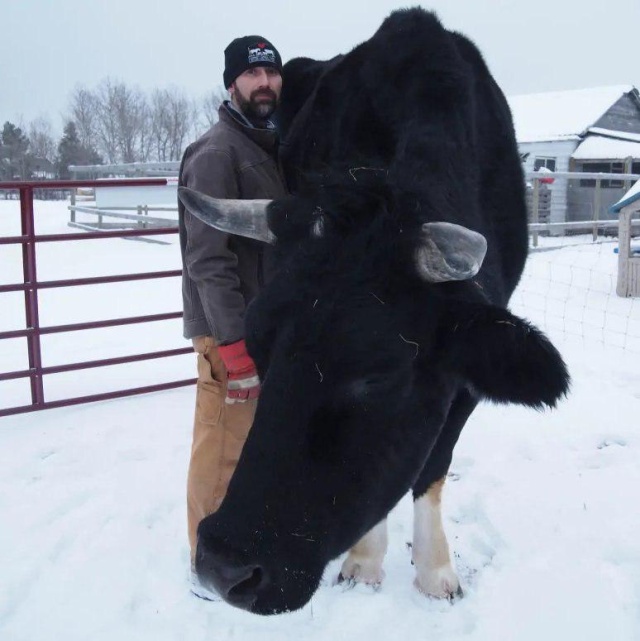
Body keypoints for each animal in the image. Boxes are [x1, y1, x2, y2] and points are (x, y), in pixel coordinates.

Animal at [178, 6, 568, 616]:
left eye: (378, 374)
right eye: (258, 345)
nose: (225, 567)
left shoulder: (467, 367)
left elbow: (431, 466)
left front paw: (435, 570)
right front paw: (364, 560)